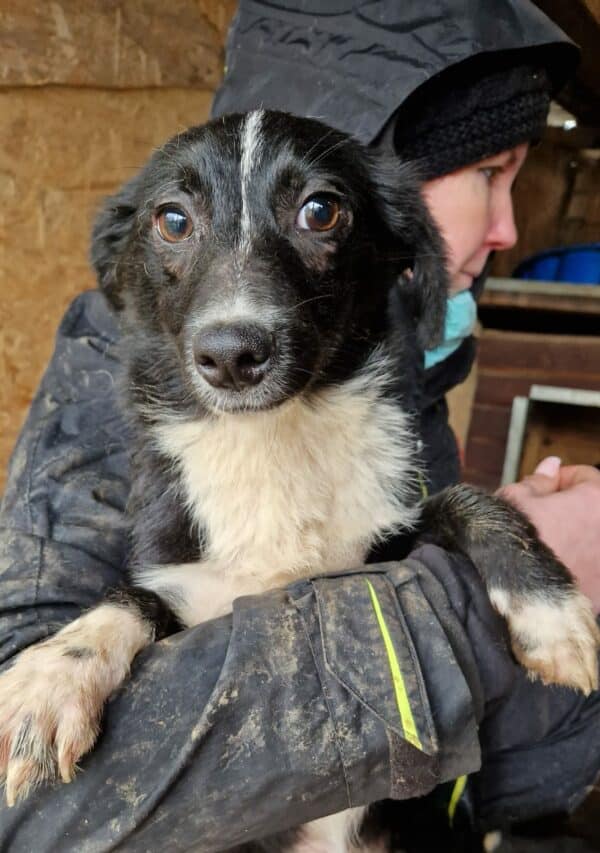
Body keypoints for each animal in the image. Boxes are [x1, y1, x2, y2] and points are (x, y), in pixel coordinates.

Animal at [1, 113, 600, 852]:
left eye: (321, 210)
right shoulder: (189, 587)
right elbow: (129, 598)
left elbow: (471, 500)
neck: (271, 443)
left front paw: (553, 612)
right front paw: (51, 678)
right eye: (172, 219)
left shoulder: (384, 548)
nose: (232, 354)